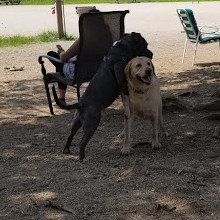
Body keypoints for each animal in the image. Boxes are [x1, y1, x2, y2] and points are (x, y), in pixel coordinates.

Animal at [53, 31, 153, 161]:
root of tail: (80, 104)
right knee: (82, 142)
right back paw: (83, 158)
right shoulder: (122, 82)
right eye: (144, 45)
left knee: (70, 136)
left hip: (76, 123)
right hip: (92, 124)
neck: (120, 50)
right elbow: (126, 98)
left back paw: (67, 150)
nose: (151, 54)